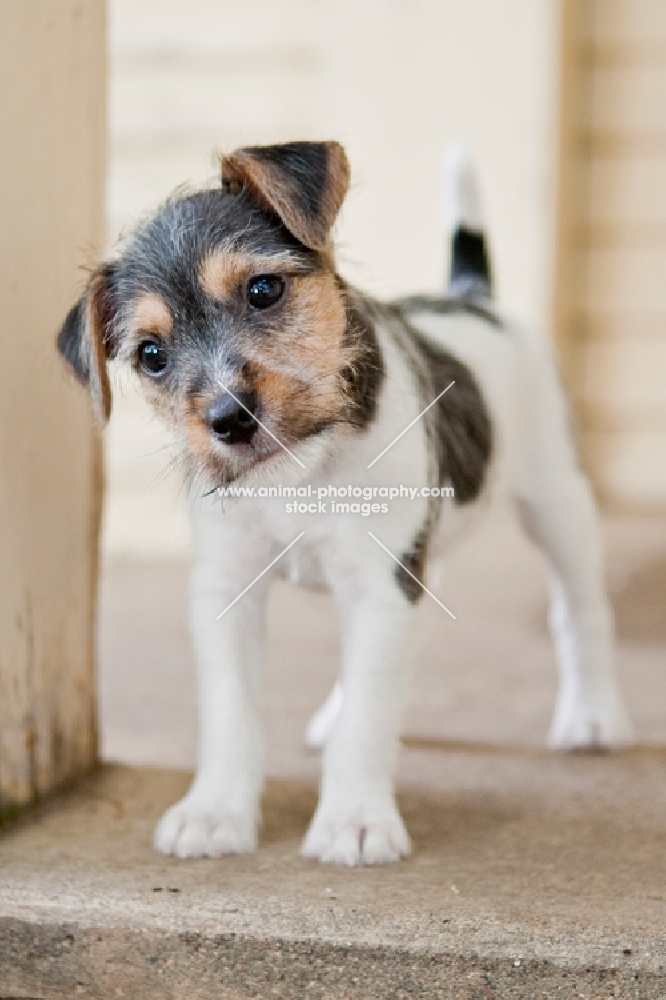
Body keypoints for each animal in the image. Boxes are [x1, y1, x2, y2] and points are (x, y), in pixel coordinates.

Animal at [55, 137, 628, 864]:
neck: (303, 474)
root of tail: (473, 299)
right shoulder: (227, 591)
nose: (231, 418)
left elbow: (370, 715)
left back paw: (594, 716)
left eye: (263, 290)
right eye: (152, 355)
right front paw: (214, 812)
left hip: (559, 503)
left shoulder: (381, 584)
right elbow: (231, 713)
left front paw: (354, 819)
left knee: (580, 611)